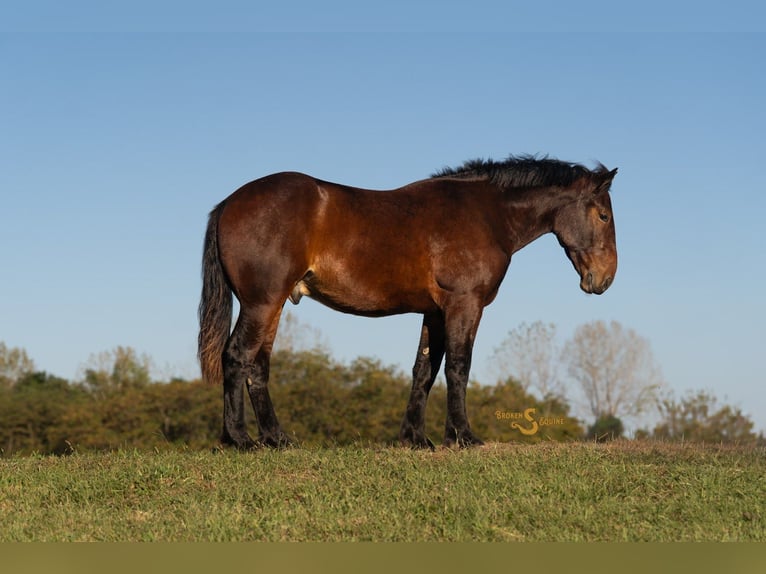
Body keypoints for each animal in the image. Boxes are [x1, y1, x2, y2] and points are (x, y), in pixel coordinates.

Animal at [198, 155, 618, 449]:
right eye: (602, 214)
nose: (605, 279)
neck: (485, 214)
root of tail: (229, 203)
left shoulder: (434, 312)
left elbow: (424, 369)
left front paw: (417, 438)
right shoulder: (464, 305)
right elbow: (458, 367)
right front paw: (463, 436)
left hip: (273, 305)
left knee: (257, 366)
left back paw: (276, 439)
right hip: (262, 303)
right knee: (237, 357)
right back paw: (240, 439)